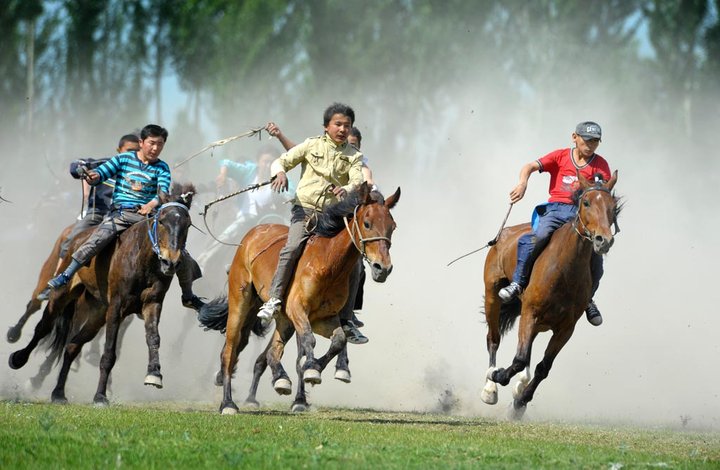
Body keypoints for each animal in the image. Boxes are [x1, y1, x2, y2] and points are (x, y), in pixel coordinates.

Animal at [9, 183, 195, 404]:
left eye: (188, 224)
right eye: (163, 221)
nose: (170, 262)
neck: (142, 259)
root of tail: (77, 237)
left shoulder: (152, 303)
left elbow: (153, 337)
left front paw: (154, 374)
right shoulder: (116, 307)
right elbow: (109, 353)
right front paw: (100, 396)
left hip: (97, 313)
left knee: (72, 346)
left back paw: (59, 393)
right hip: (62, 293)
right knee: (43, 326)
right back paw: (18, 357)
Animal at [198, 182, 400, 414]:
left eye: (393, 226)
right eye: (367, 223)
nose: (383, 268)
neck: (327, 262)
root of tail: (252, 233)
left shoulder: (323, 318)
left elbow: (338, 340)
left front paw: (314, 370)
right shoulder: (298, 309)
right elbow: (308, 341)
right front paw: (311, 371)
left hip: (280, 319)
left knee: (270, 351)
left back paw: (279, 380)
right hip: (240, 303)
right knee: (230, 351)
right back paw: (228, 403)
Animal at [478, 172, 620, 418]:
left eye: (612, 206)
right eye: (586, 202)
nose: (604, 240)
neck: (565, 270)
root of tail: (505, 234)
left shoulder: (566, 328)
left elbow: (543, 367)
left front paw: (519, 403)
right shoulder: (530, 313)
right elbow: (519, 359)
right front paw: (498, 376)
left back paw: (519, 386)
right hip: (492, 296)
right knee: (493, 339)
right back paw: (490, 387)